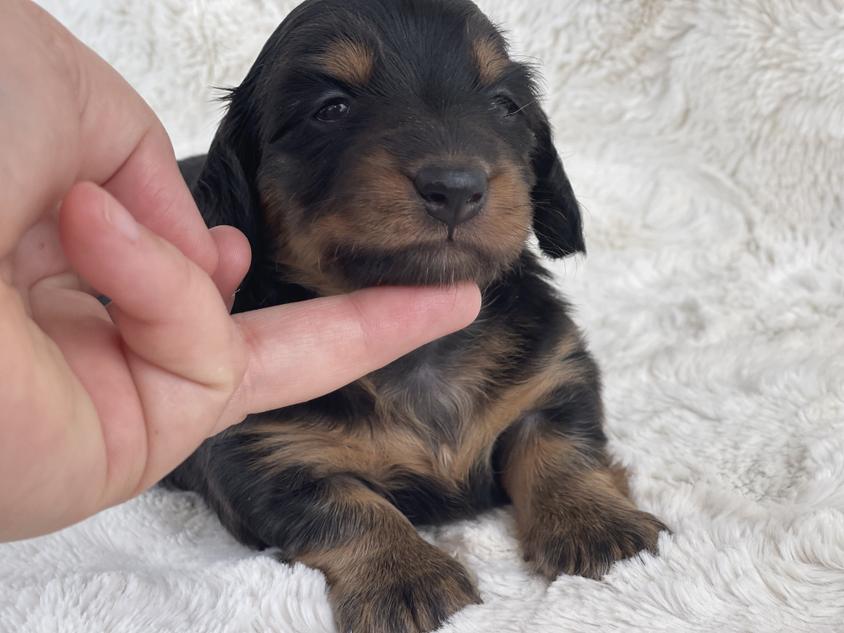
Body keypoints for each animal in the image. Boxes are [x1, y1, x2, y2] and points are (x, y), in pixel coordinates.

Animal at [168, 1, 668, 632]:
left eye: (505, 105)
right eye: (331, 107)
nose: (455, 187)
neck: (422, 352)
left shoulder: (555, 376)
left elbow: (560, 447)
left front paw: (596, 526)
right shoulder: (259, 451)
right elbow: (345, 506)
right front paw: (405, 576)